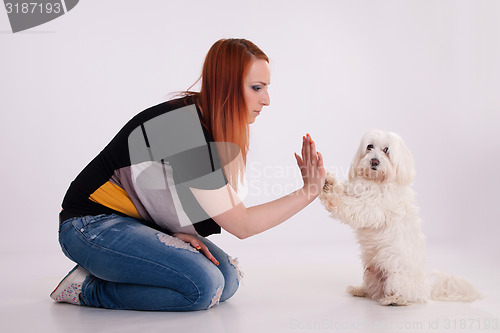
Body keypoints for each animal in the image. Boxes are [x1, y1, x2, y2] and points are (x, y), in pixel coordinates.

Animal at [320, 128, 480, 304]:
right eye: (370, 146)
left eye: (386, 150)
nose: (374, 161)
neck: (376, 181)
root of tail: (426, 289)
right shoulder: (355, 190)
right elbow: (342, 188)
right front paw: (327, 181)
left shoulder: (372, 210)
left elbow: (351, 206)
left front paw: (332, 199)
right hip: (370, 272)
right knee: (373, 291)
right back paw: (360, 290)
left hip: (395, 276)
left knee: (408, 296)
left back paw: (394, 300)